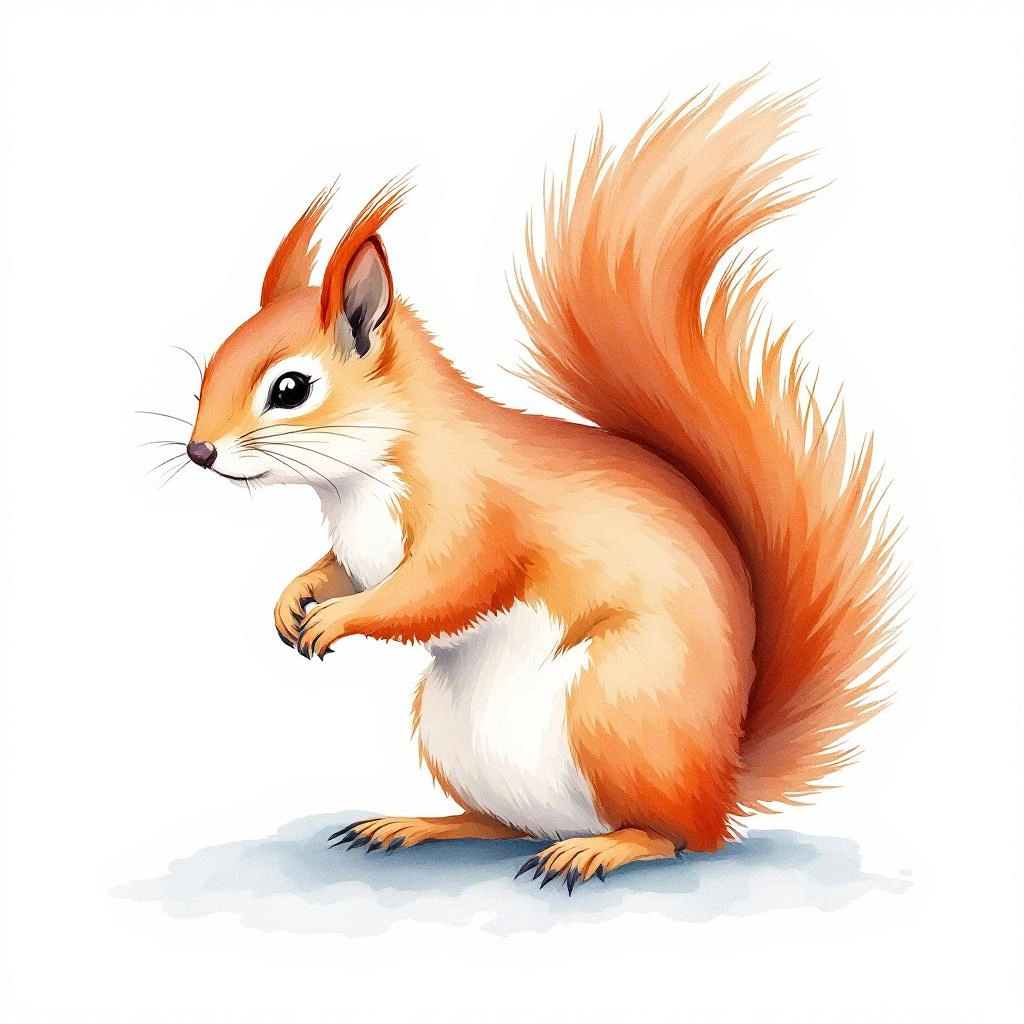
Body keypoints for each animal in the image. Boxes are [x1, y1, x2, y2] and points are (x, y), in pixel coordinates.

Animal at [184, 75, 903, 893]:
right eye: (210, 366)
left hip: (615, 706)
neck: (358, 482)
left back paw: (606, 847)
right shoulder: (361, 546)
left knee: (676, 838)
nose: (199, 451)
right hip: (453, 733)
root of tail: (722, 782)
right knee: (504, 823)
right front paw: (294, 597)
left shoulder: (477, 517)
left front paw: (337, 619)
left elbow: (438, 589)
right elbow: (338, 569)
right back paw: (420, 825)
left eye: (291, 389)